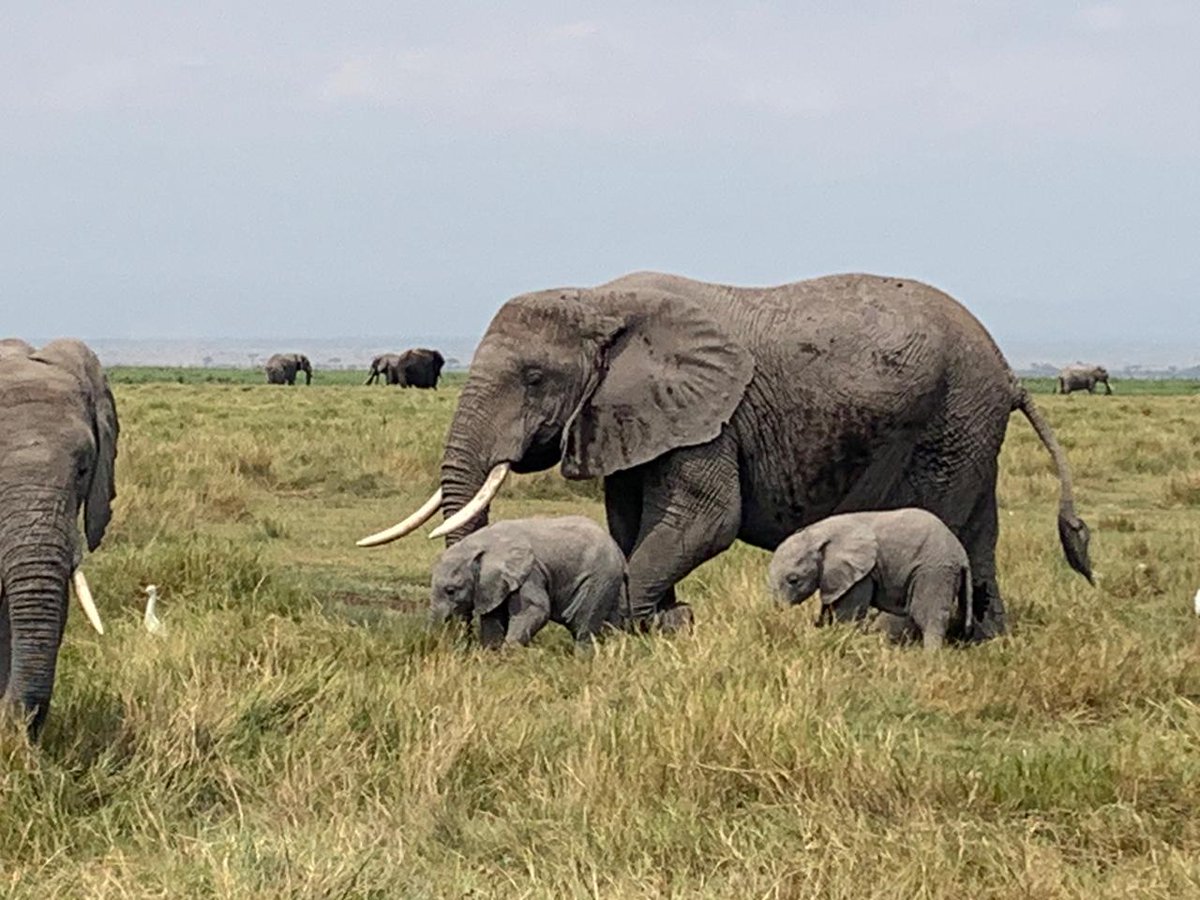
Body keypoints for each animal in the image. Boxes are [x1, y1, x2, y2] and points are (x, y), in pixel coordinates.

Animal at [429, 516, 626, 651]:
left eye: (451, 590)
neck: (483, 542)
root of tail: (619, 552)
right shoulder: (491, 585)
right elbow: (492, 618)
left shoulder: (530, 573)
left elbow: (535, 610)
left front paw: (507, 656)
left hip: (599, 578)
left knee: (582, 624)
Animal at [768, 508, 973, 650]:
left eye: (794, 580)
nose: (780, 615)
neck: (818, 533)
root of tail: (962, 554)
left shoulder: (861, 573)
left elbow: (848, 613)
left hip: (935, 571)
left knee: (927, 615)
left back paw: (929, 657)